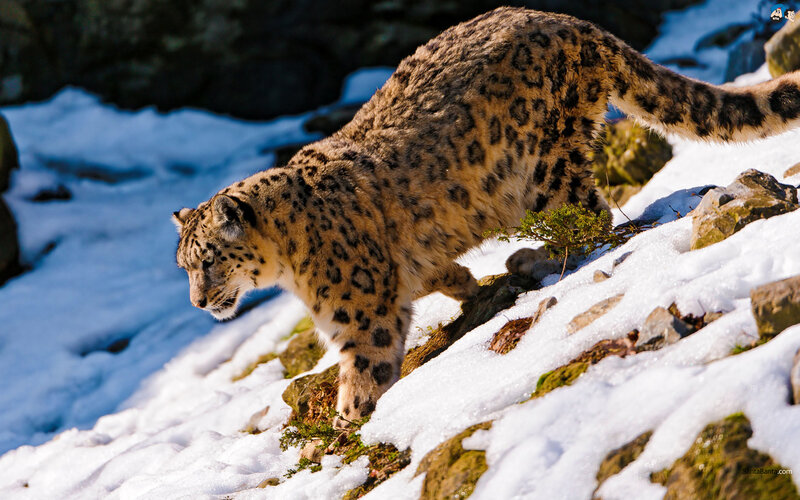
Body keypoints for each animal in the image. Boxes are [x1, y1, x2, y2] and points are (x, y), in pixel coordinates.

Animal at [174, 7, 800, 426]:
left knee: (591, 219)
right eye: (184, 266)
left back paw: (531, 257)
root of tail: (569, 21)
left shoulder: (362, 311)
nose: (199, 303)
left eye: (209, 259)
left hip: (546, 167)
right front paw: (464, 284)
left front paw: (348, 418)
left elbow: (367, 363)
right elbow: (436, 272)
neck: (290, 266)